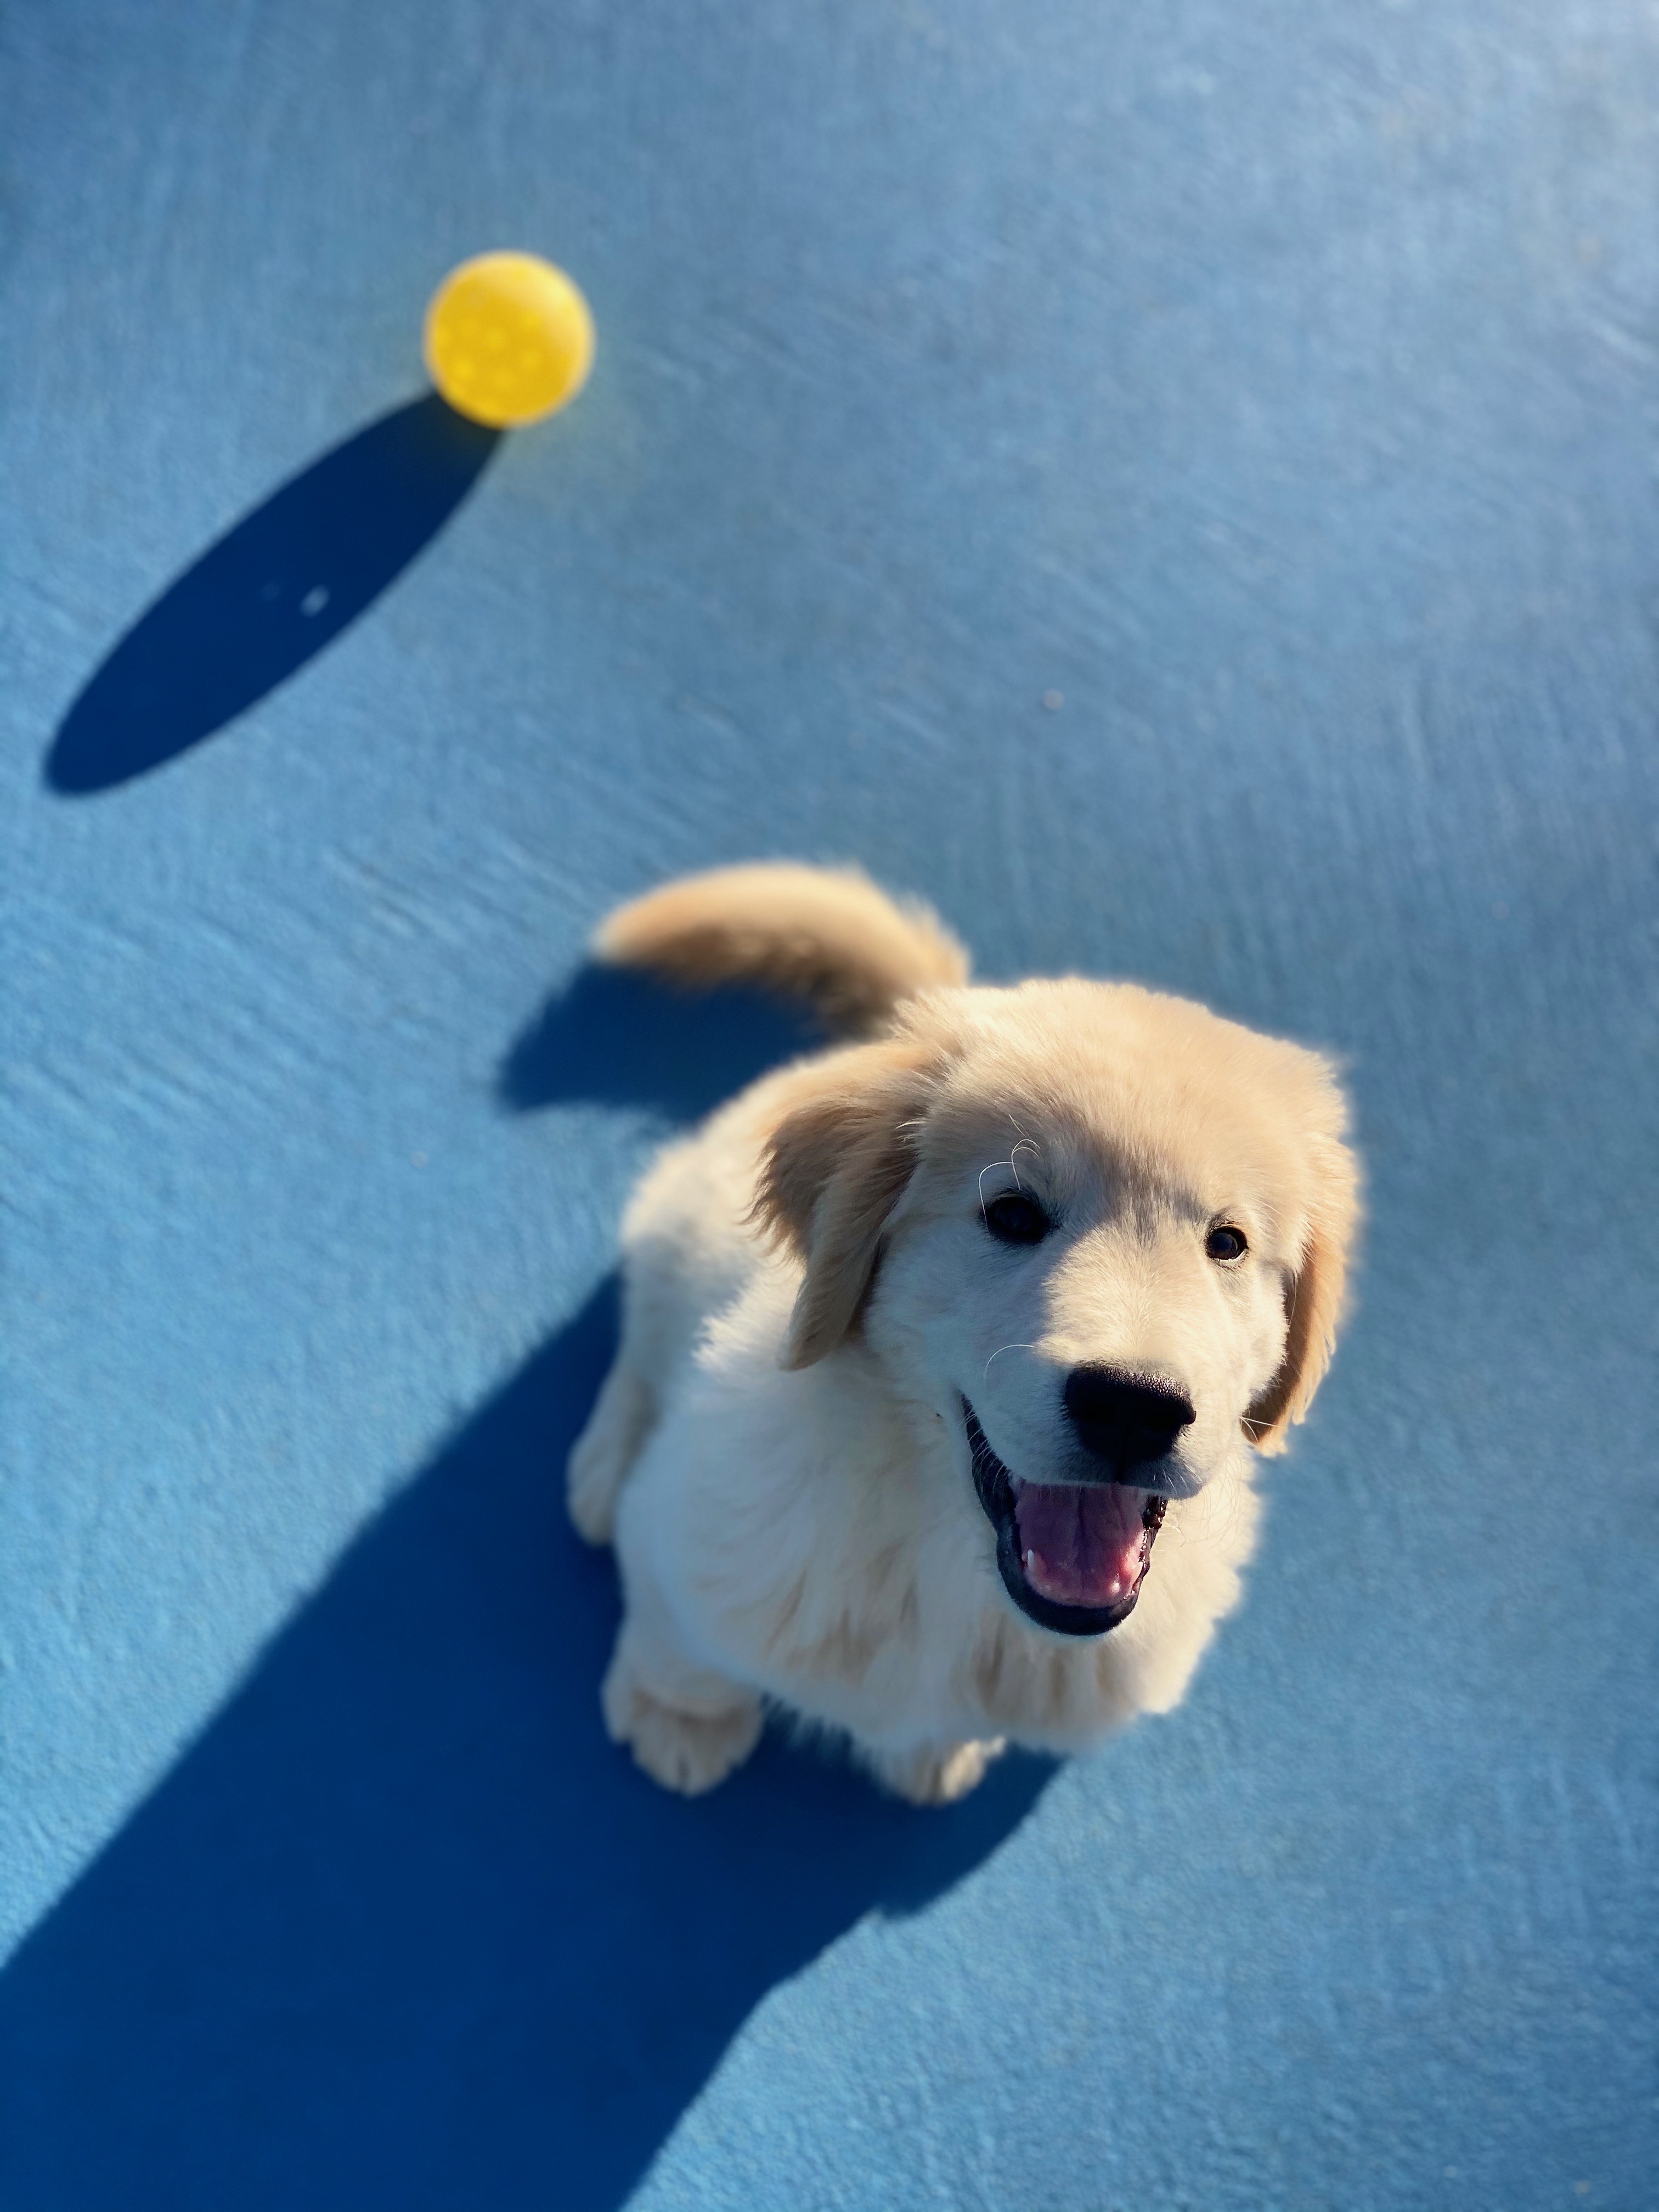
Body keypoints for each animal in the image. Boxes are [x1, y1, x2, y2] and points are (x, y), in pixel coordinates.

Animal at [575, 858, 1362, 1796]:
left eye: (1228, 1244)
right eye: (1013, 1215)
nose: (1134, 1407)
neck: (950, 1560)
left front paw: (937, 1752)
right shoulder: (689, 1526)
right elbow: (679, 1637)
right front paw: (679, 1718)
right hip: (678, 1222)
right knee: (639, 1345)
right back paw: (604, 1464)